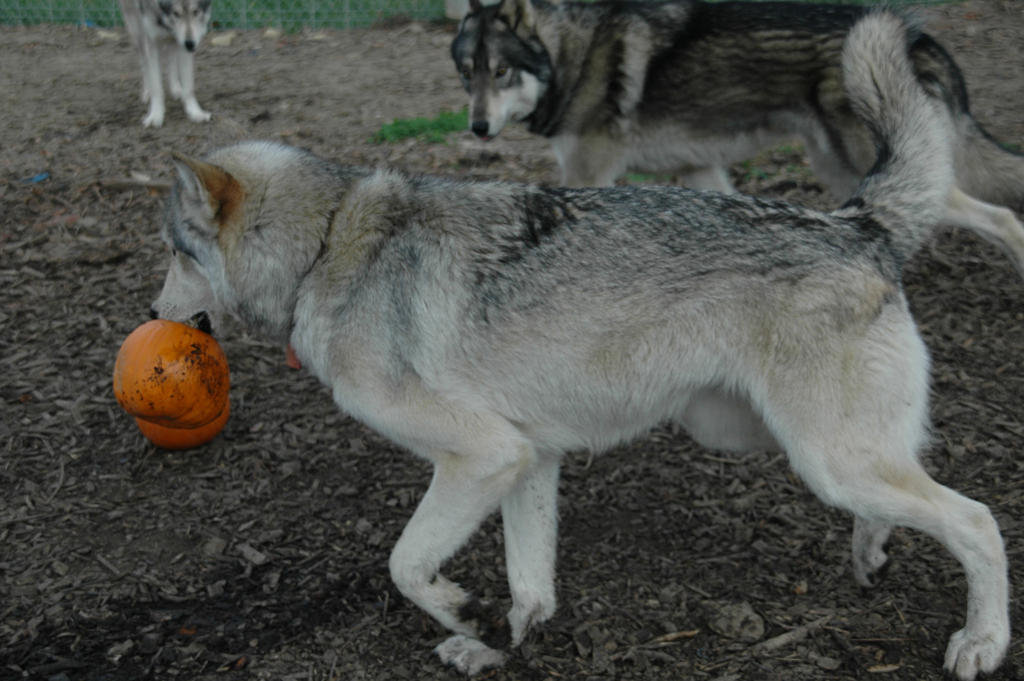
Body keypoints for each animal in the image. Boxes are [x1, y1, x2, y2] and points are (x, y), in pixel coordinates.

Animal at [452, 0, 1024, 276]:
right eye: (466, 73)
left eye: (501, 72)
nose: (477, 128)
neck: (573, 54)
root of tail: (921, 39)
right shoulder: (699, 170)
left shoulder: (587, 175)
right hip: (842, 172)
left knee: (1002, 217)